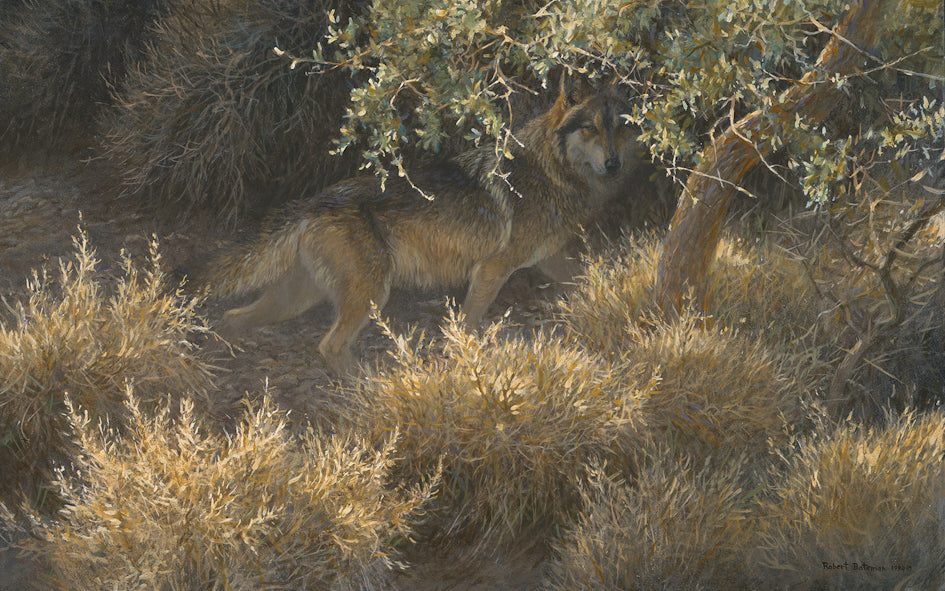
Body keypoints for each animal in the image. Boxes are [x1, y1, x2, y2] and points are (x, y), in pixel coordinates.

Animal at [212, 75, 638, 373]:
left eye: (621, 127)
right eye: (590, 128)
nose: (615, 164)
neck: (552, 172)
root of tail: (314, 201)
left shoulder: (548, 259)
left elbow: (587, 277)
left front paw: (610, 299)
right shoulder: (491, 270)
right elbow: (468, 325)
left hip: (298, 299)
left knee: (233, 318)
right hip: (369, 295)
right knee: (329, 346)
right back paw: (369, 391)